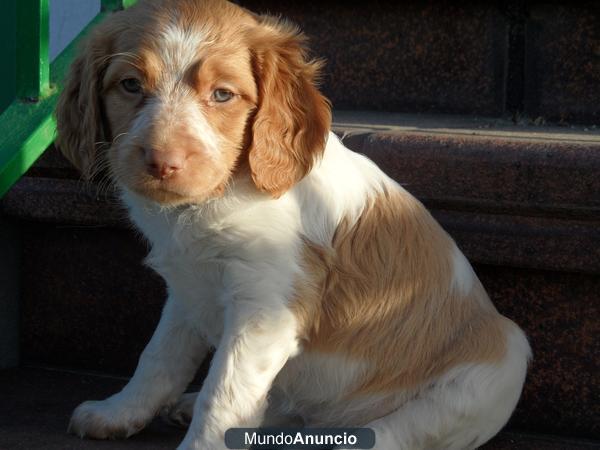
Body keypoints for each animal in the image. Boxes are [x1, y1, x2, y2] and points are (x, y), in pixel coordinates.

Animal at [57, 0, 528, 450]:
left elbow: (223, 394)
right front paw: (118, 412)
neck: (215, 199)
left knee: (397, 431)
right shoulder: (188, 290)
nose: (161, 162)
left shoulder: (264, 309)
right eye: (130, 85)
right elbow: (159, 358)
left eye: (223, 94)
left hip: (497, 368)